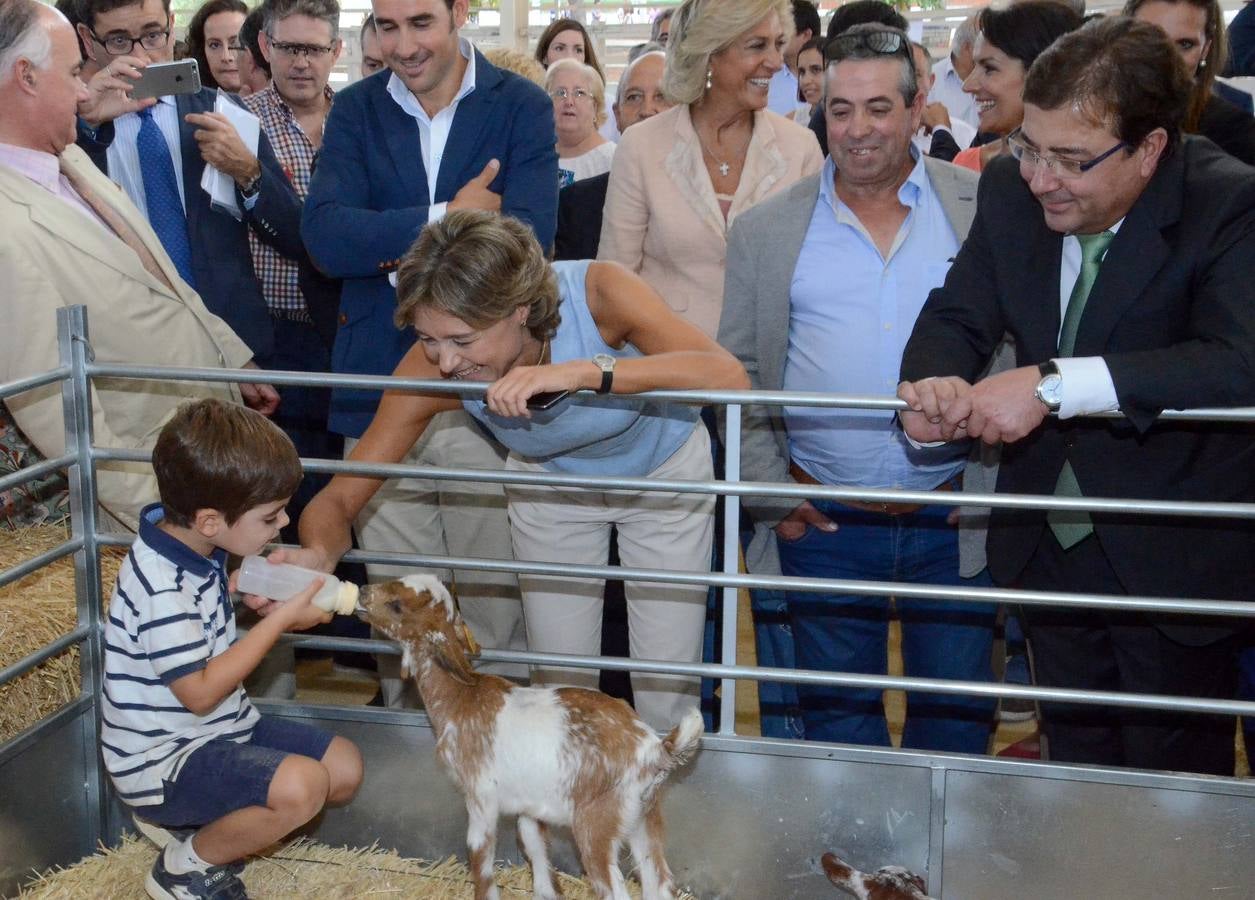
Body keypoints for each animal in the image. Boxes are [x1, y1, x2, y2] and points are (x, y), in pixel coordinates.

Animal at [361, 574, 707, 898]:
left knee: (616, 889)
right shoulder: (528, 807)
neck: (461, 697)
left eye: (397, 605)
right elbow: (535, 850)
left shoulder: (480, 795)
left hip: (597, 824)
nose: (363, 592)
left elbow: (480, 859)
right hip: (643, 819)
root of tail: (654, 749)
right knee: (659, 883)